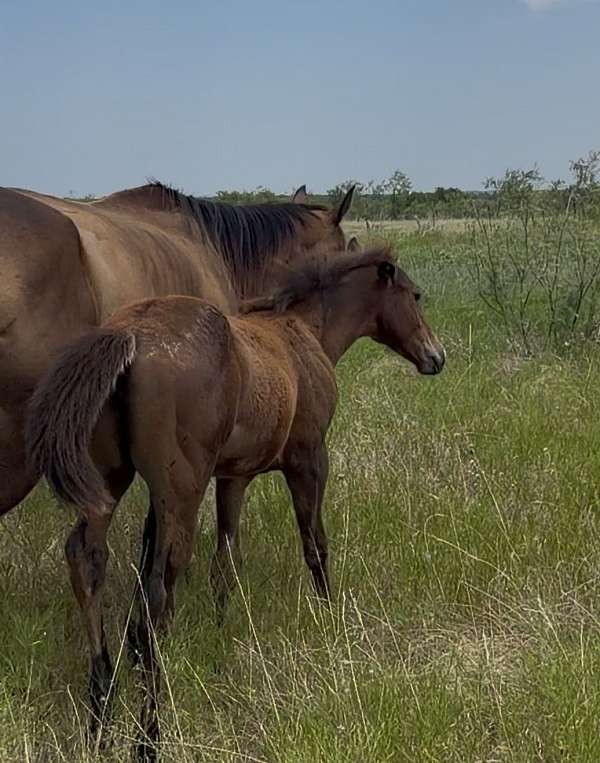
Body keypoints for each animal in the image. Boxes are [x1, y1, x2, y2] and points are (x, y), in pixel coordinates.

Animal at [26, 243, 445, 756]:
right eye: (415, 295)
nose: (436, 356)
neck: (303, 334)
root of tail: (127, 335)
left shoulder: (232, 479)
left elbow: (225, 562)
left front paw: (221, 633)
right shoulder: (309, 460)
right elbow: (315, 544)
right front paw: (330, 617)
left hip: (111, 482)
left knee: (89, 561)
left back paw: (101, 715)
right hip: (181, 491)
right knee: (156, 597)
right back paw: (149, 734)